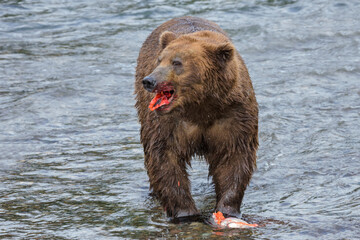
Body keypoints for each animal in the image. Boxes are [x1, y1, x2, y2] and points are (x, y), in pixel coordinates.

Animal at [134, 15, 258, 220]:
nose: (149, 81)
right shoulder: (169, 123)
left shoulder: (233, 114)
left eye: (177, 62)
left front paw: (227, 209)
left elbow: (234, 156)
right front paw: (186, 213)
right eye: (160, 60)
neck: (201, 105)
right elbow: (164, 157)